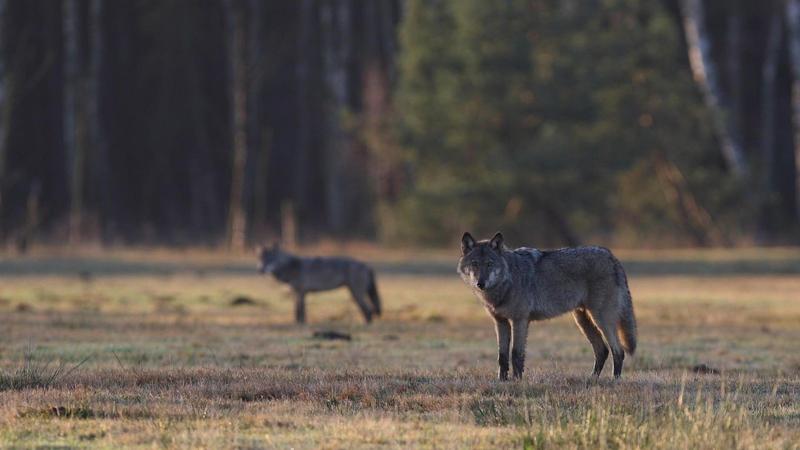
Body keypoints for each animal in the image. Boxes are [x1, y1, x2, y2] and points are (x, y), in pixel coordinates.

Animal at [456, 232, 636, 380]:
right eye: (474, 264)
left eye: (489, 264)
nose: (480, 283)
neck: (507, 282)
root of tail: (611, 256)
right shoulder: (501, 322)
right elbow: (502, 356)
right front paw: (502, 381)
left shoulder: (520, 321)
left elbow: (516, 354)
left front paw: (517, 380)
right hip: (583, 320)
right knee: (602, 351)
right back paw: (592, 379)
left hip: (601, 320)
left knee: (618, 351)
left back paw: (615, 380)